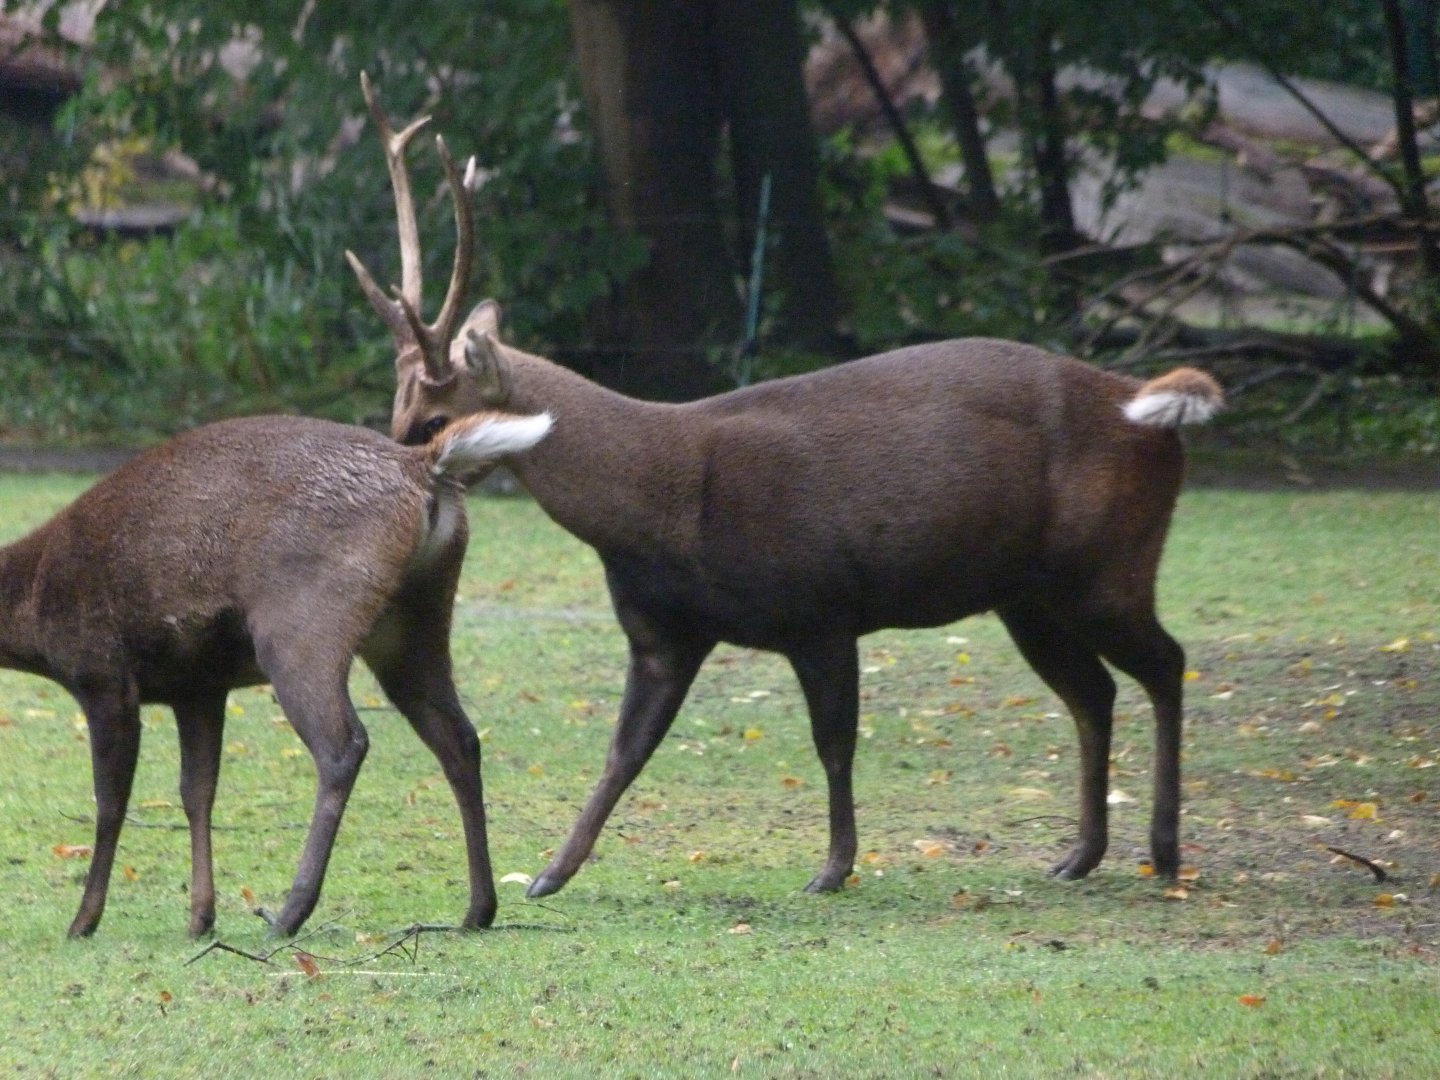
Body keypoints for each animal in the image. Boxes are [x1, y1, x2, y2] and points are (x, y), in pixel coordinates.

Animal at [0, 410, 551, 938]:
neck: (33, 611)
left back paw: (290, 912)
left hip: (301, 626)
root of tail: (424, 465)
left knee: (344, 743)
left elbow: (111, 802)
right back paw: (478, 910)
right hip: (415, 625)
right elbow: (197, 793)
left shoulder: (102, 674)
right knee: (460, 738)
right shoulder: (197, 687)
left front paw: (83, 921)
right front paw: (200, 917)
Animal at [346, 75, 1223, 904]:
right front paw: (550, 874)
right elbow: (625, 752)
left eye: (432, 416)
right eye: (397, 409)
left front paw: (833, 868)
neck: (660, 508)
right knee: (1095, 691)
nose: (392, 479)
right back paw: (1078, 855)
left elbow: (833, 743)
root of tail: (1148, 410)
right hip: (1029, 594)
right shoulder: (664, 633)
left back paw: (1163, 849)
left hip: (1109, 562)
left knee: (1167, 663)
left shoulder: (822, 604)